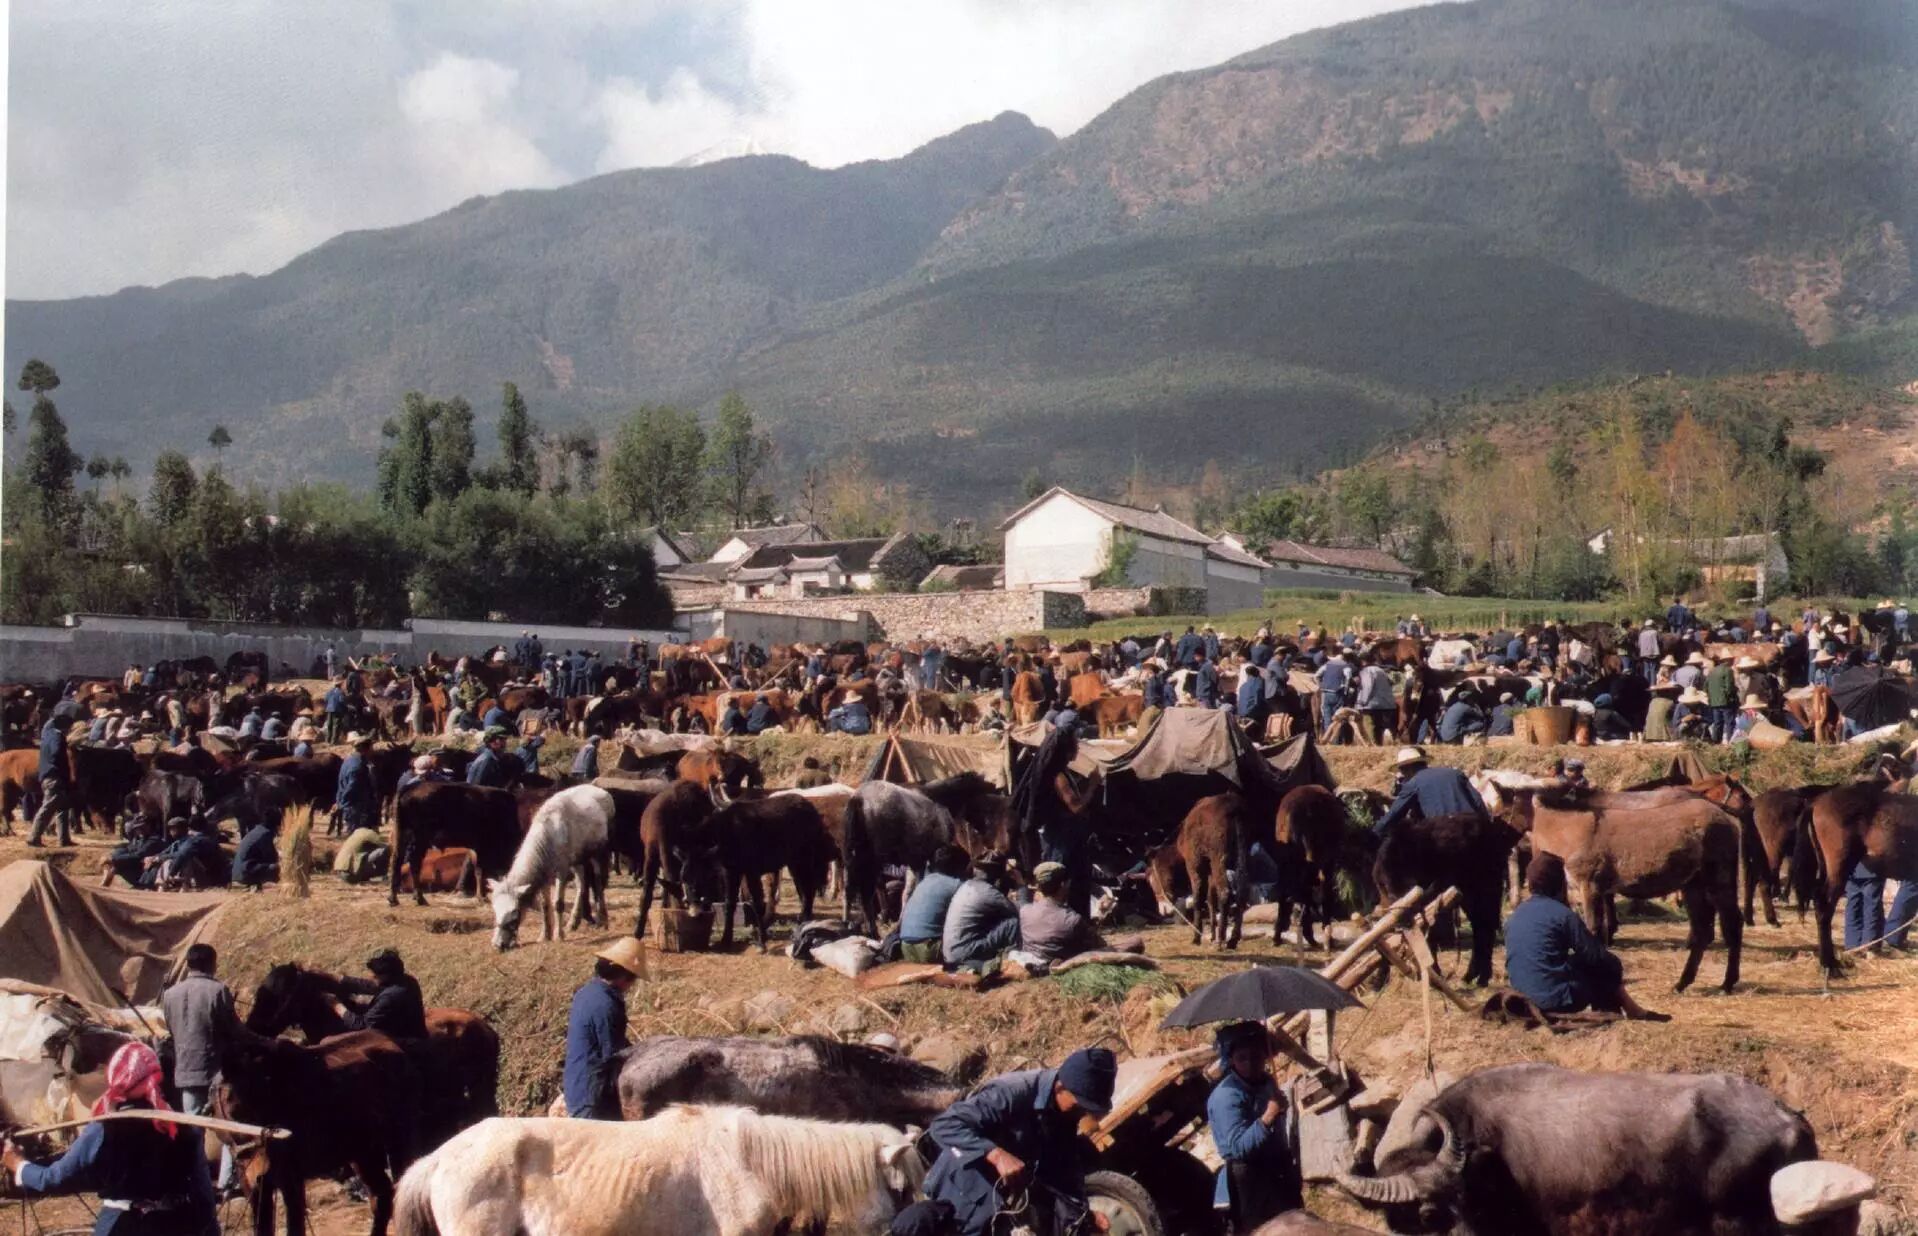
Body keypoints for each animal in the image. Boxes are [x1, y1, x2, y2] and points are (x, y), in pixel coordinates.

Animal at [489, 784, 615, 950]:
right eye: (495, 910)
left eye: (515, 914)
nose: (498, 944)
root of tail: (599, 789)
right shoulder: (544, 874)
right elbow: (544, 905)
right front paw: (544, 935)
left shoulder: (561, 870)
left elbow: (558, 904)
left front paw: (558, 935)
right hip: (577, 858)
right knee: (581, 883)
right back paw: (573, 922)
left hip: (599, 851)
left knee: (598, 881)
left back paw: (602, 920)